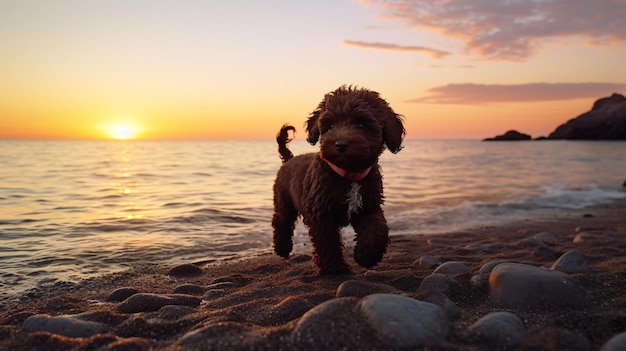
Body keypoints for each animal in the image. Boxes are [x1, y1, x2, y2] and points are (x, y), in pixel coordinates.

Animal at [270, 85, 402, 276]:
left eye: (361, 124)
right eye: (330, 125)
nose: (340, 144)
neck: (349, 174)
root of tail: (289, 159)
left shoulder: (369, 206)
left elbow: (377, 227)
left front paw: (367, 255)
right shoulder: (321, 214)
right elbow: (328, 242)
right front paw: (335, 269)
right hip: (283, 200)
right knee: (281, 221)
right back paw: (282, 248)